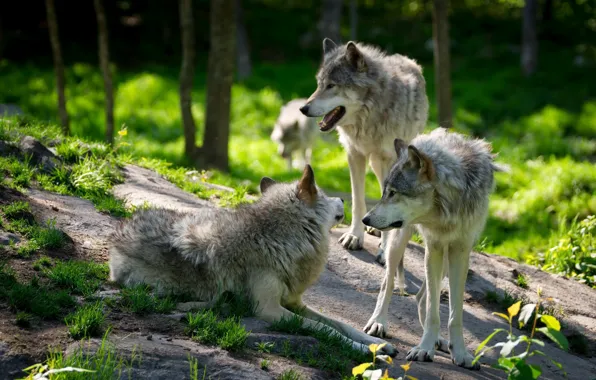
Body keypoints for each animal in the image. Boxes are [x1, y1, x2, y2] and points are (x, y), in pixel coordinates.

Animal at [108, 166, 396, 356]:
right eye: (323, 194)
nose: (342, 198)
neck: (277, 238)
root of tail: (119, 230)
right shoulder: (270, 310)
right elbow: (326, 330)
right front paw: (369, 351)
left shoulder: (295, 303)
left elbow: (342, 324)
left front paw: (379, 344)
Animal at [300, 38, 430, 286]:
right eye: (319, 84)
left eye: (332, 85)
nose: (303, 108)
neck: (370, 117)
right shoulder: (354, 154)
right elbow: (358, 200)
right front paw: (355, 235)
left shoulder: (389, 160)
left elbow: (388, 200)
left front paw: (384, 250)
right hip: (375, 164)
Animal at [358, 127, 508, 368]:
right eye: (385, 192)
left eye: (394, 193)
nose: (365, 219)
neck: (446, 208)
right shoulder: (434, 246)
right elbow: (432, 311)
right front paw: (424, 349)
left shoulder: (460, 250)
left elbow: (454, 313)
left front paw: (460, 353)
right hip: (399, 243)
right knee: (388, 283)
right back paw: (378, 323)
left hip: (446, 260)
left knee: (421, 297)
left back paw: (439, 340)